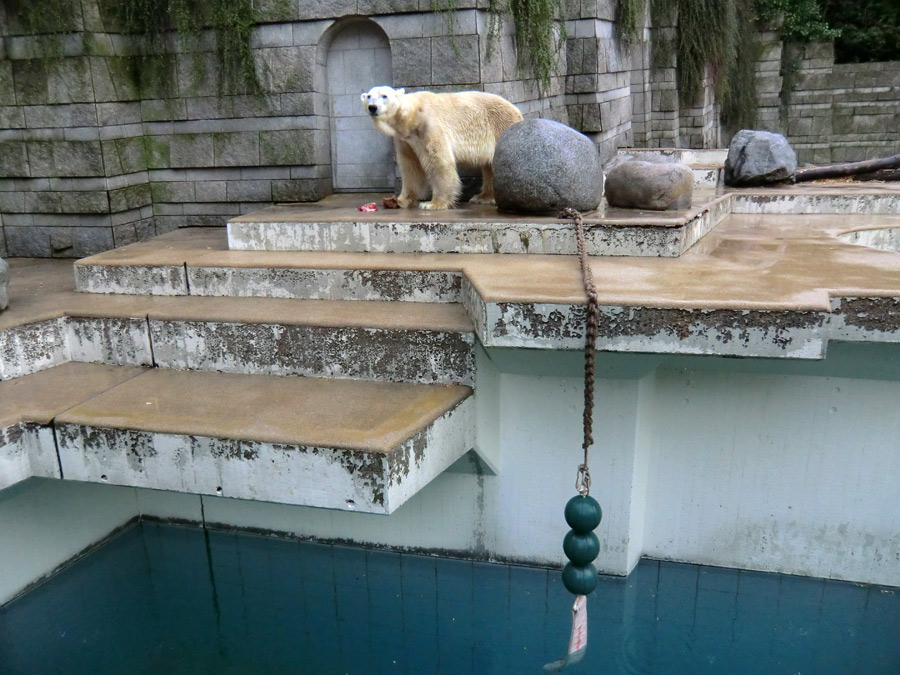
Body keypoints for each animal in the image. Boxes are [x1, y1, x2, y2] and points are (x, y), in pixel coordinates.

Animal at [362, 86, 524, 210]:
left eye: (384, 95)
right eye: (369, 96)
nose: (372, 107)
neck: (411, 117)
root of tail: (517, 111)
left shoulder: (429, 127)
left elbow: (438, 162)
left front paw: (432, 203)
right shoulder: (404, 139)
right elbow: (411, 167)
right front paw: (399, 200)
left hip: (500, 127)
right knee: (489, 166)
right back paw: (483, 197)